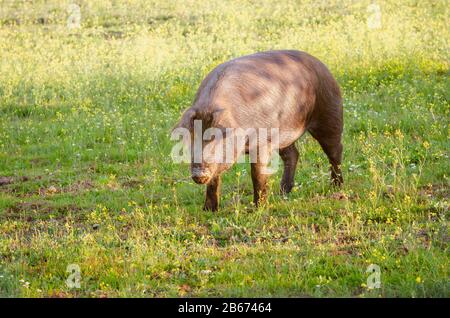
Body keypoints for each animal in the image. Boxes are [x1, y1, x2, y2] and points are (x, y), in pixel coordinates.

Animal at [174, 50, 342, 211]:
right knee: (293, 154)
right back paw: (282, 192)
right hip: (283, 134)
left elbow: (257, 174)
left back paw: (337, 187)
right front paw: (208, 210)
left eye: (216, 140)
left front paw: (258, 209)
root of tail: (320, 64)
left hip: (329, 114)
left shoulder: (262, 141)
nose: (199, 174)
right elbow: (215, 180)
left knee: (335, 152)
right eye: (191, 141)